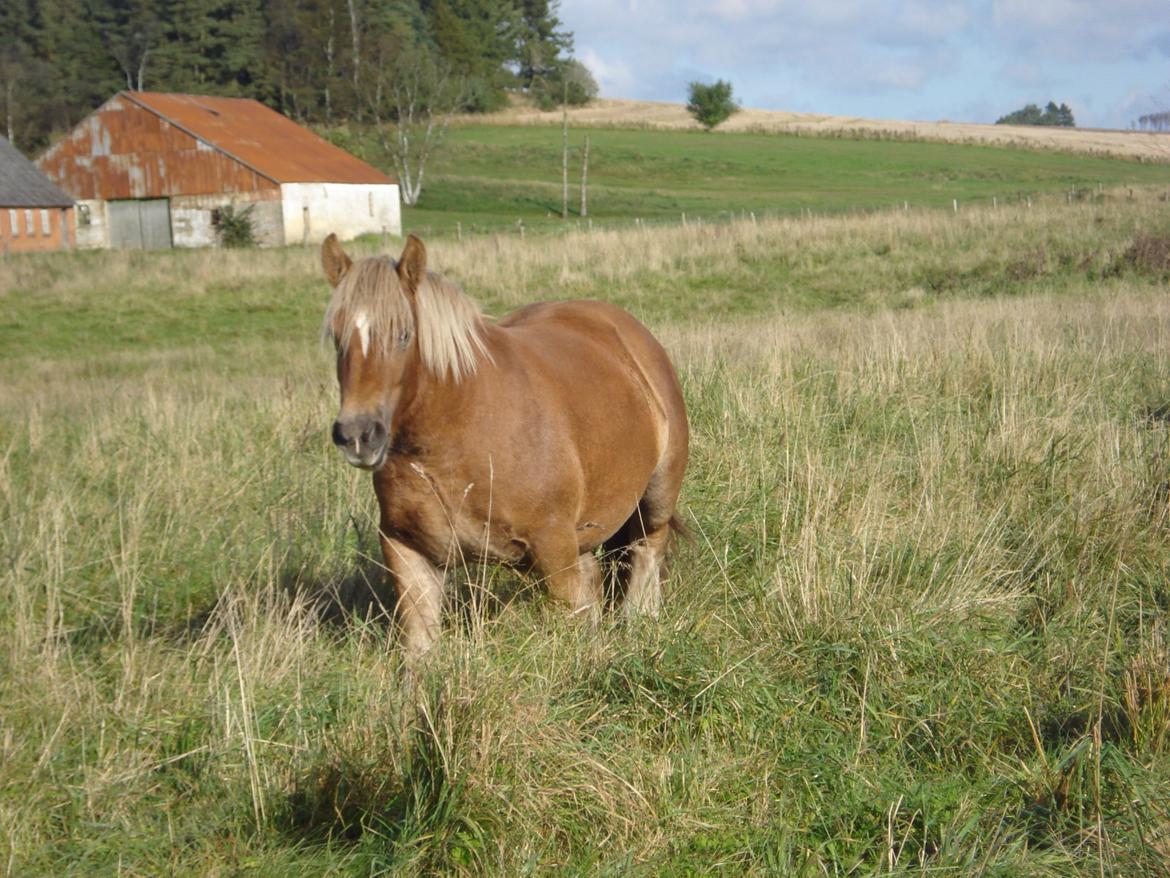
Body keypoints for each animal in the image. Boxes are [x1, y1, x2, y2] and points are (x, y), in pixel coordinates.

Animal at [322, 230, 683, 655]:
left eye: (403, 335)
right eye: (337, 337)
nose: (357, 434)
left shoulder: (553, 547)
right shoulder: (407, 551)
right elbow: (420, 648)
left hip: (654, 500)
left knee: (646, 553)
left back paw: (640, 621)